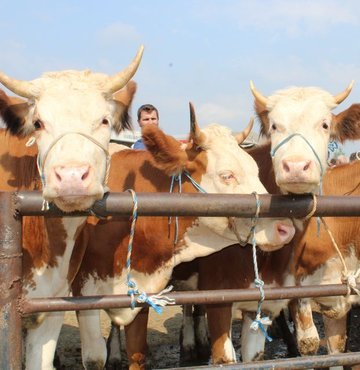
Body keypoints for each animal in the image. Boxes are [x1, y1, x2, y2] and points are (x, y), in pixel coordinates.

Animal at [70, 105, 296, 368]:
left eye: (256, 171)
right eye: (227, 175)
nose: (285, 227)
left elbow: (137, 352)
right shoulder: (84, 293)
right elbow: (95, 358)